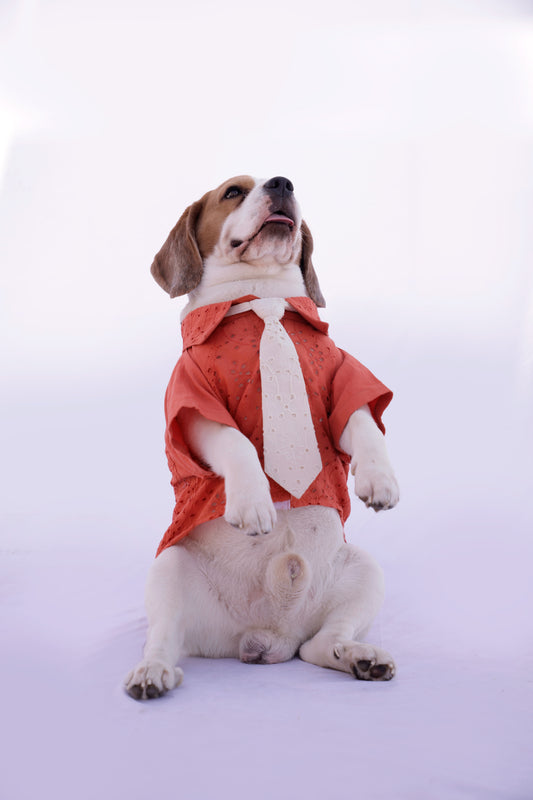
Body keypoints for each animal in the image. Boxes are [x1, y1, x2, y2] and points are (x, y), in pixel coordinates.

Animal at [125, 177, 400, 700]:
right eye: (233, 192)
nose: (282, 182)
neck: (262, 298)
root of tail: (268, 635)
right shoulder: (195, 404)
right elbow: (237, 442)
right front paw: (253, 502)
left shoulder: (340, 382)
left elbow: (362, 424)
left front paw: (379, 478)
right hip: (169, 570)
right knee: (164, 640)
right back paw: (152, 672)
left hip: (365, 571)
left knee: (320, 645)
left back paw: (358, 656)